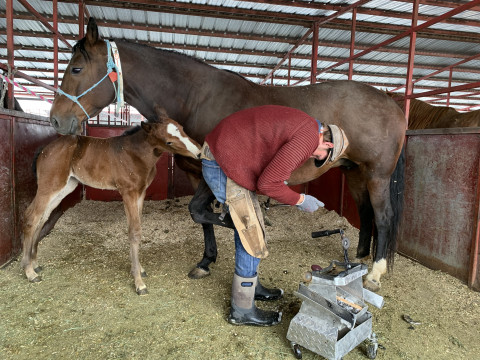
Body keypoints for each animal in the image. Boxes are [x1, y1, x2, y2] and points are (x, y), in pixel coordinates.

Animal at [21, 105, 202, 296]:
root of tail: (44, 149)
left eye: (182, 129)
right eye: (168, 142)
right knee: (31, 217)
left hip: (65, 187)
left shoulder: (140, 193)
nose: (199, 153)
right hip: (49, 187)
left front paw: (140, 269)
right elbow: (134, 232)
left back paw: (35, 263)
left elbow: (137, 228)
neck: (134, 154)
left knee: (42, 218)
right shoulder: (128, 193)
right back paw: (29, 271)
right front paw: (139, 283)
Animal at [50, 17, 406, 292]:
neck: (196, 98)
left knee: (384, 216)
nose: (55, 119)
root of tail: (390, 102)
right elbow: (200, 215)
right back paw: (359, 257)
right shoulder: (196, 172)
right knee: (367, 214)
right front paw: (207, 259)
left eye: (76, 68)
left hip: (376, 174)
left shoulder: (218, 171)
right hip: (354, 171)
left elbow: (202, 211)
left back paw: (375, 273)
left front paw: (237, 227)